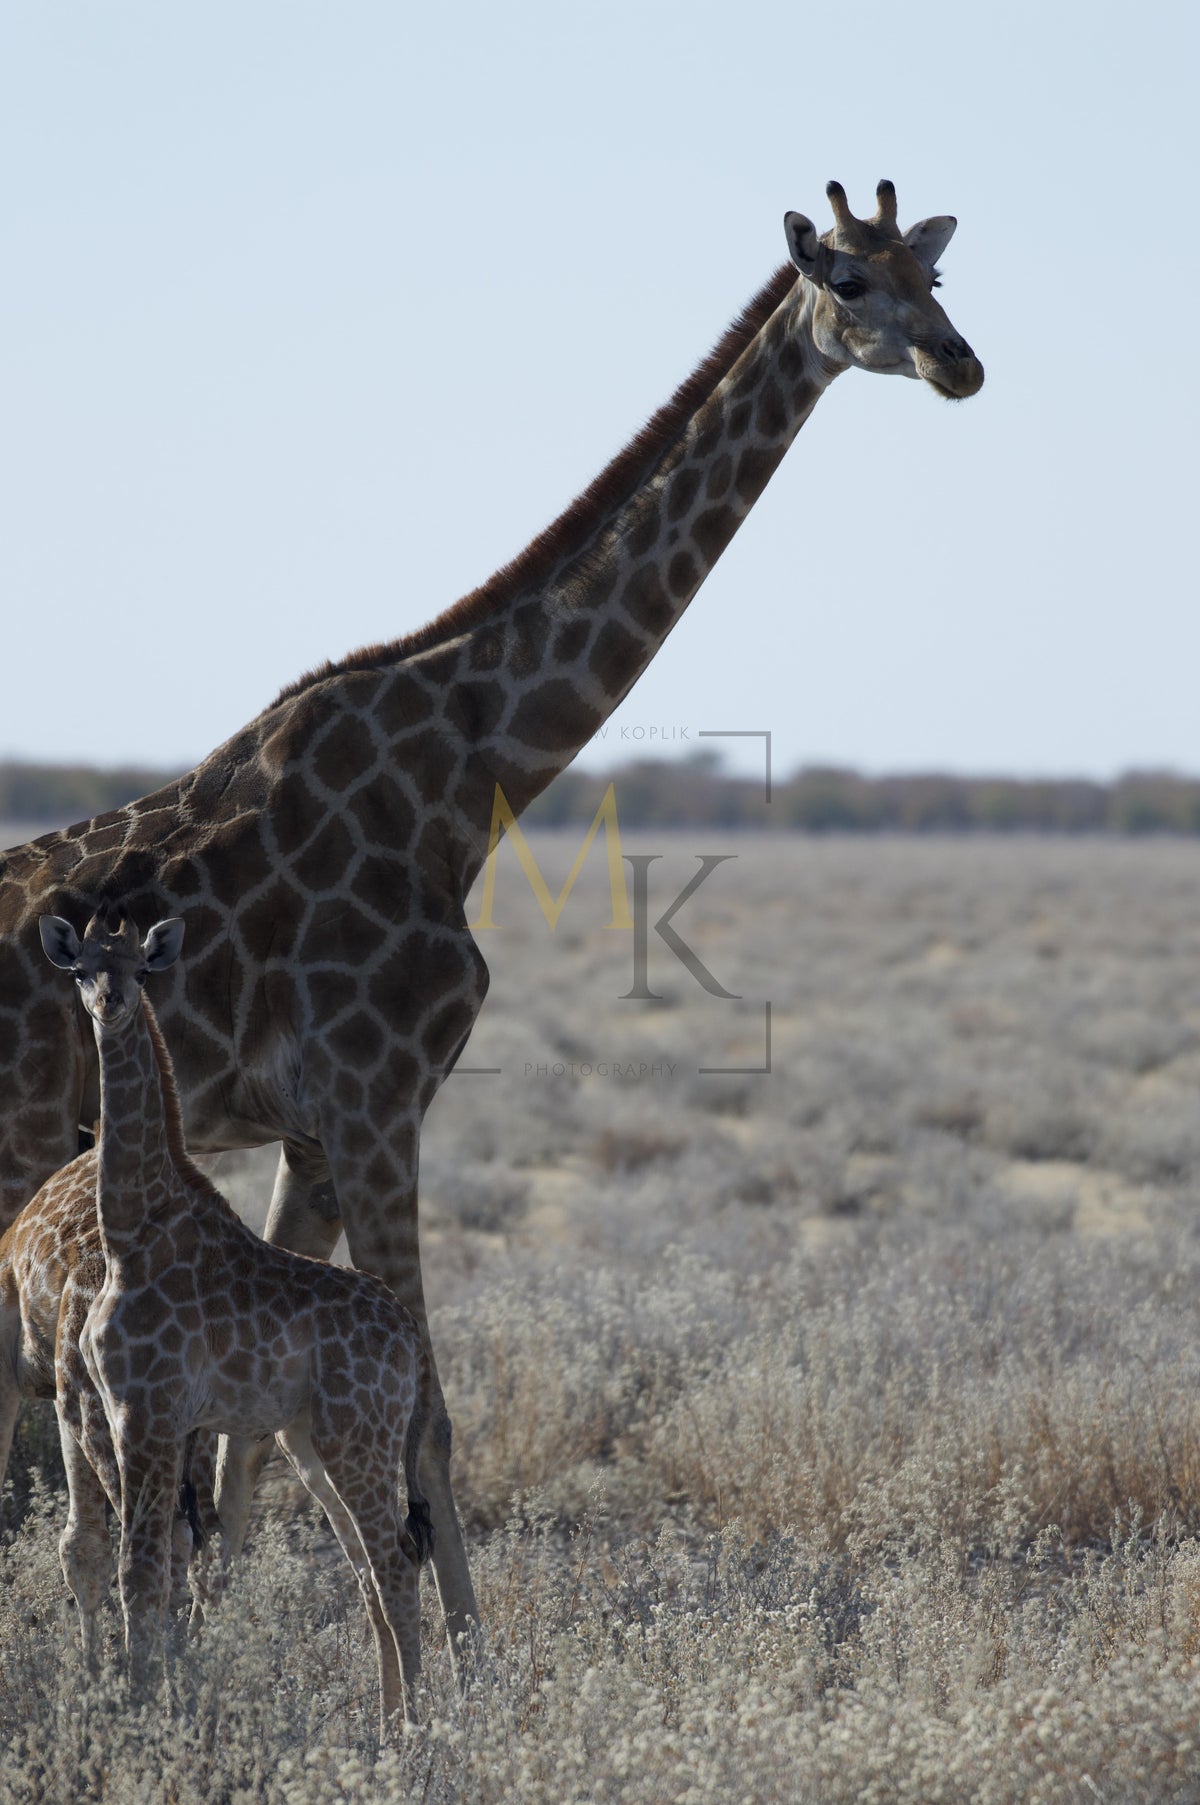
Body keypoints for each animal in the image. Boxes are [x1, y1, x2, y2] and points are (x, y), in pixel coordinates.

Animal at [0, 181, 983, 1647]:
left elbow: (255, 1444)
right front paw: (471, 1659)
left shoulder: (315, 1128)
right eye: (852, 283)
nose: (959, 364)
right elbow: (428, 1415)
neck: (472, 775)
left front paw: (239, 1637)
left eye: (937, 276)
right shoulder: (377, 1099)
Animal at [34, 908, 434, 1733]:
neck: (131, 1230)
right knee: (372, 1566)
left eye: (140, 967)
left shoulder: (147, 1409)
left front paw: (140, 1706)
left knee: (392, 1558)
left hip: (359, 1432)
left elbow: (144, 1569)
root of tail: (412, 1340)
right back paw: (387, 1723)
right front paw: (147, 1694)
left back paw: (414, 1727)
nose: (112, 1002)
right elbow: (155, 1562)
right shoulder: (128, 1410)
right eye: (81, 967)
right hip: (312, 1440)